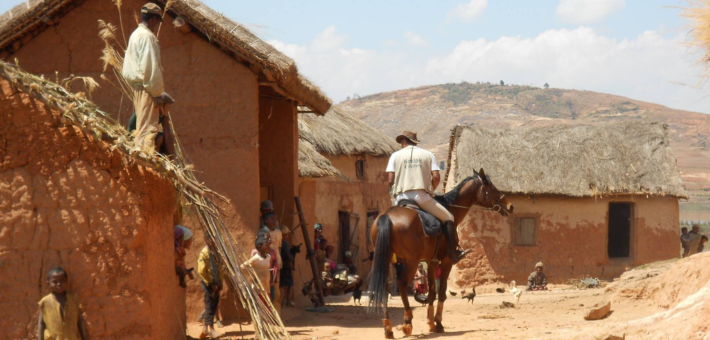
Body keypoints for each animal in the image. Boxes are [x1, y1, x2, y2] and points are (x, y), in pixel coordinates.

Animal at [370, 169, 516, 338]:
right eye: (491, 187)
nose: (510, 206)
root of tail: (387, 216)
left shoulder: (432, 262)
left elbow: (432, 292)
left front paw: (431, 323)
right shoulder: (446, 261)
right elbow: (441, 292)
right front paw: (438, 323)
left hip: (388, 260)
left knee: (384, 288)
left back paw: (388, 327)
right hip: (411, 262)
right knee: (402, 285)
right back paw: (407, 322)